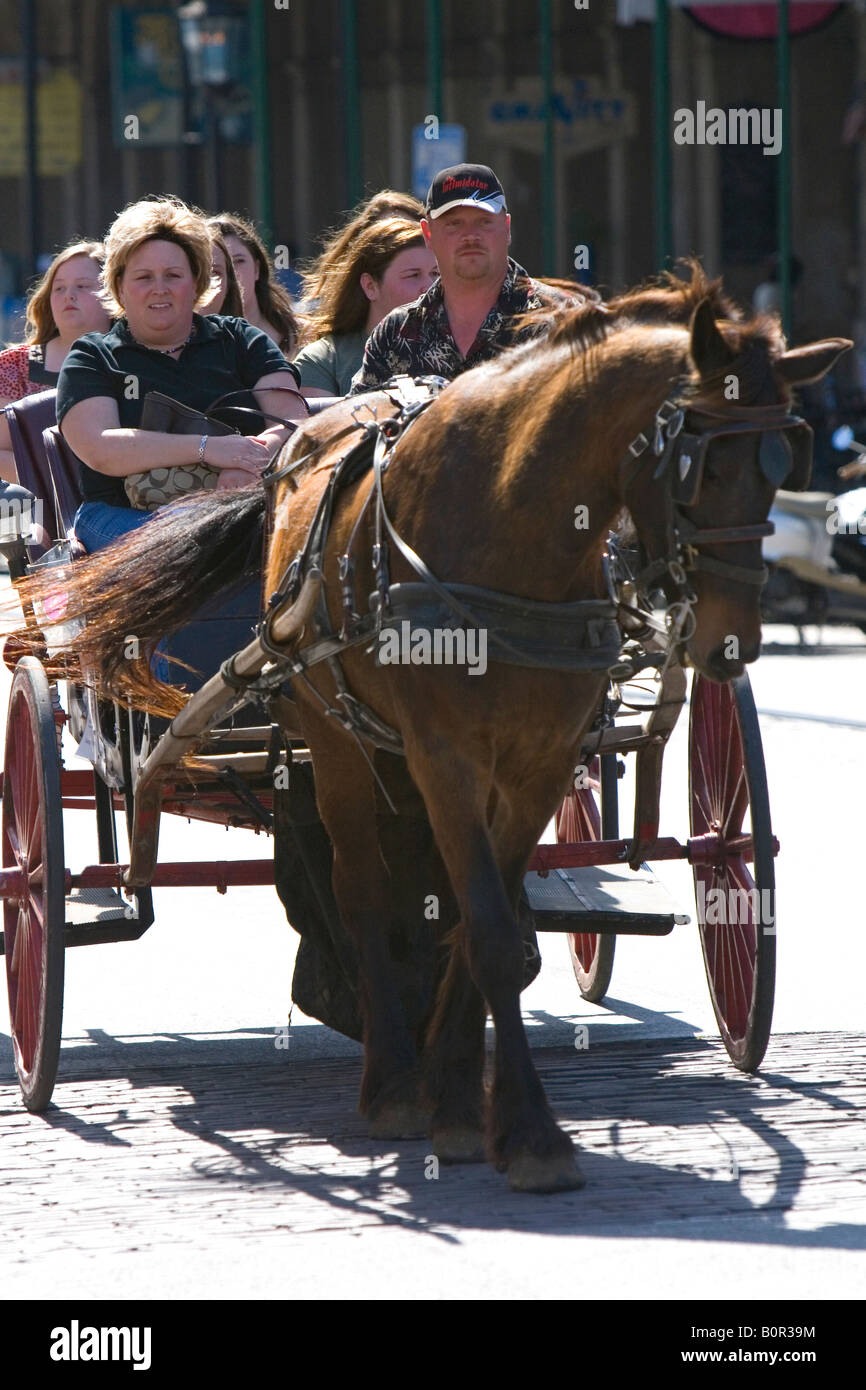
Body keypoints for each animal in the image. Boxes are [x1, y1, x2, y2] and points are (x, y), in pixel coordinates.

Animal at [22, 266, 849, 1192]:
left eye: (783, 463)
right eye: (700, 464)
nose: (730, 642)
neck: (511, 530)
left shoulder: (539, 760)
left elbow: (483, 922)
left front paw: (462, 1105)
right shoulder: (445, 753)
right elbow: (483, 925)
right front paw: (525, 1132)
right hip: (334, 736)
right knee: (355, 888)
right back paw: (388, 1082)